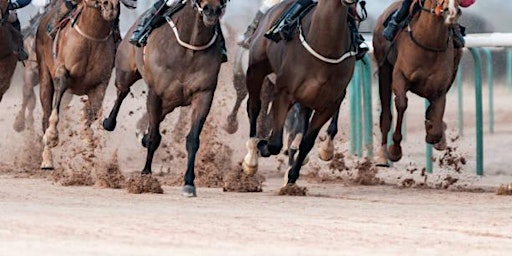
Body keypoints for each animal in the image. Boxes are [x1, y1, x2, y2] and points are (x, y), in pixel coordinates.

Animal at [36, 0, 118, 170]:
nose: (110, 6)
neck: (92, 37)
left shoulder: (100, 84)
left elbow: (90, 113)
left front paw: (88, 143)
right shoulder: (62, 73)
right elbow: (53, 114)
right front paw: (52, 136)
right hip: (44, 75)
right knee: (46, 113)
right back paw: (47, 159)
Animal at [102, 0, 226, 198]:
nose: (211, 10)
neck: (190, 48)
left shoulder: (204, 94)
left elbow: (192, 139)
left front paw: (189, 183)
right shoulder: (156, 93)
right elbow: (153, 137)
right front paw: (145, 176)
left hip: (171, 102)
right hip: (126, 71)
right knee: (122, 92)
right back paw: (109, 122)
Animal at [243, 0, 356, 188]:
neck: (325, 45)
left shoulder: (328, 104)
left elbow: (307, 142)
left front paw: (292, 175)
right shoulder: (284, 93)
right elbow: (274, 143)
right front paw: (263, 146)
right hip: (256, 71)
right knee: (254, 107)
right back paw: (251, 157)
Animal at [372, 0, 464, 166]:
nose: (452, 12)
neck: (428, 43)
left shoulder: (440, 89)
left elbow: (436, 121)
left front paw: (435, 133)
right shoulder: (400, 77)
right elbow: (401, 104)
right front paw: (395, 151)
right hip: (384, 69)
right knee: (386, 115)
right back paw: (382, 155)